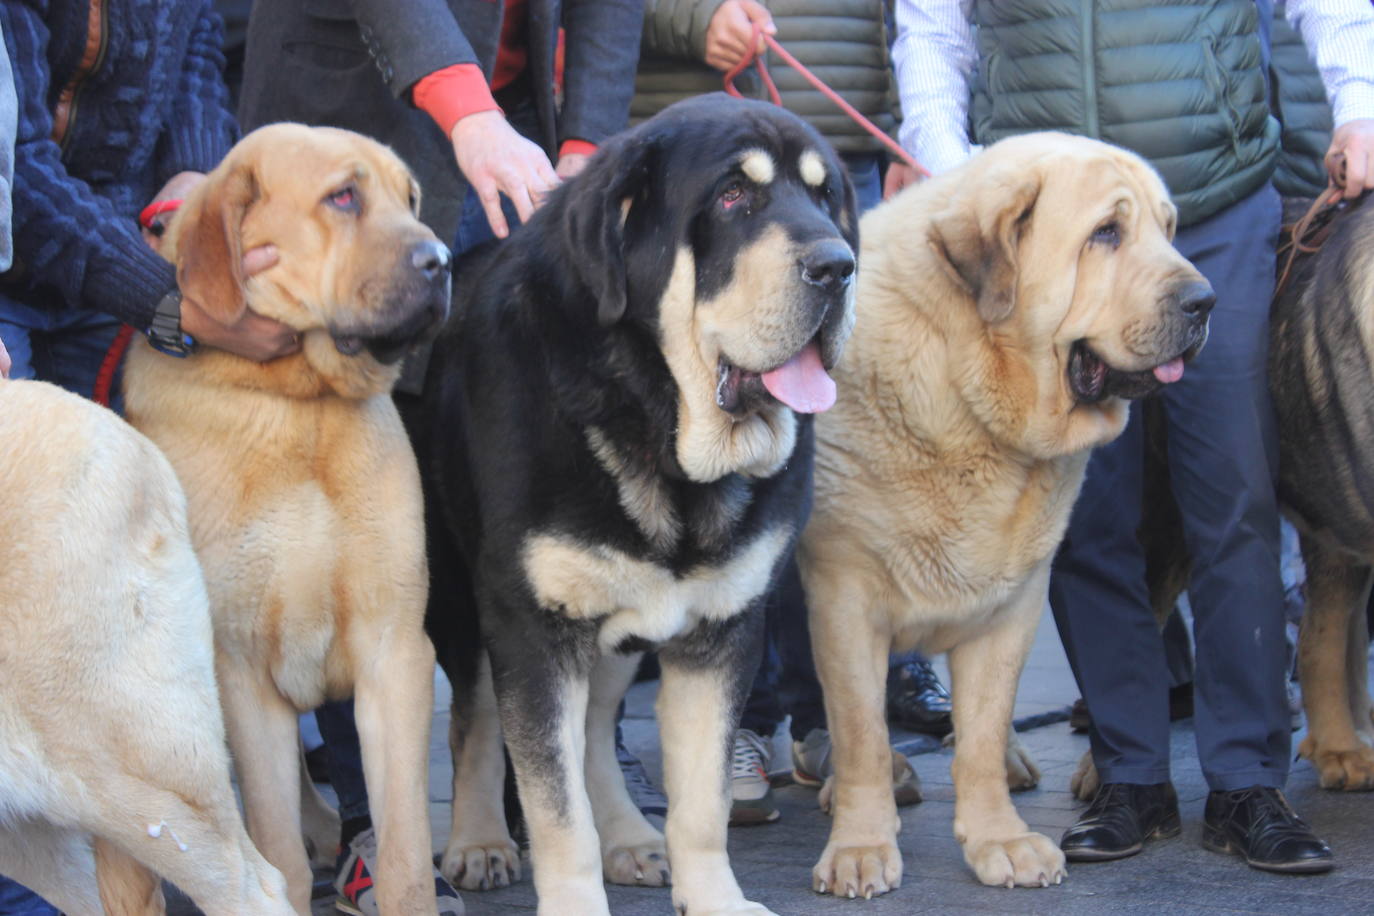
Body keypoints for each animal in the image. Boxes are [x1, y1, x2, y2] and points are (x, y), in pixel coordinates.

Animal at [802, 132, 1214, 900]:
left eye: (1167, 229)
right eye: (1106, 234)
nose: (1206, 300)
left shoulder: (1013, 599)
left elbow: (986, 728)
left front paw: (999, 838)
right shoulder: (843, 592)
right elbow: (861, 729)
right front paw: (861, 844)